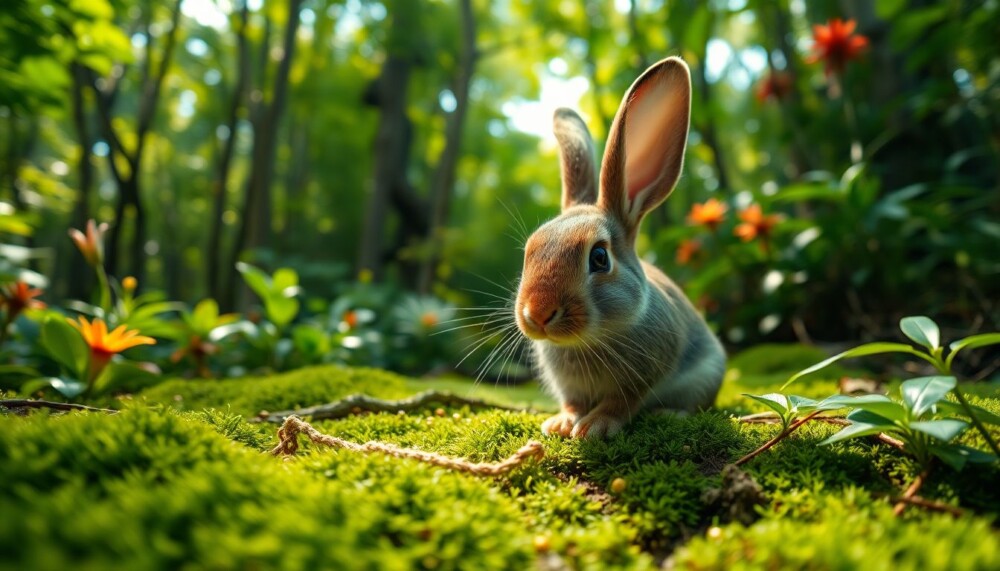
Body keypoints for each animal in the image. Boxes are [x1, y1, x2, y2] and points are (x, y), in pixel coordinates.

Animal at [514, 57, 726, 439]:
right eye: (529, 251)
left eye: (599, 258)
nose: (537, 314)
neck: (589, 339)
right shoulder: (570, 387)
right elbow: (572, 401)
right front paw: (562, 423)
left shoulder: (642, 376)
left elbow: (620, 402)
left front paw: (594, 426)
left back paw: (669, 415)